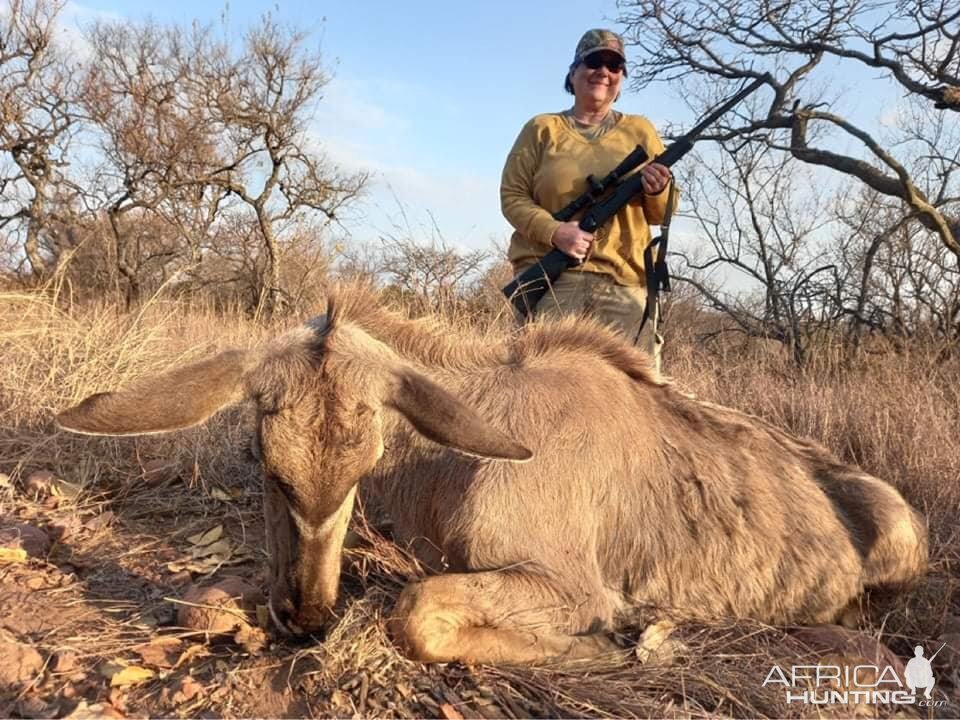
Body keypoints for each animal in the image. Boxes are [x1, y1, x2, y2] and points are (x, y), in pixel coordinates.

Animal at [56, 286, 928, 664]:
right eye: (266, 463)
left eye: (367, 461)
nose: (303, 614)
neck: (456, 463)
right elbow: (201, 601)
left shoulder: (568, 585)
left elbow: (417, 614)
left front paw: (617, 645)